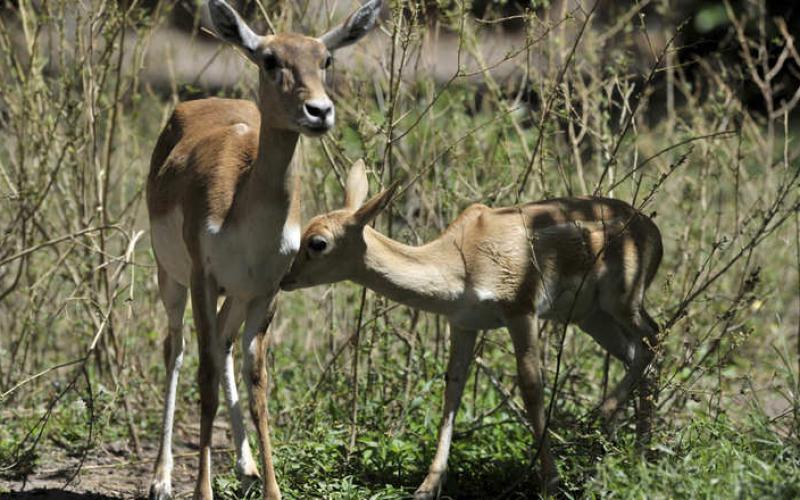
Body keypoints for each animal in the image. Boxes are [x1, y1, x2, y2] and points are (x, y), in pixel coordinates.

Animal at [148, 1, 384, 498]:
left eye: (325, 59)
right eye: (270, 59)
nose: (319, 111)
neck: (245, 210)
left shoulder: (266, 290)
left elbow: (258, 385)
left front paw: (272, 486)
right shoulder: (203, 278)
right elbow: (204, 377)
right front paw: (202, 490)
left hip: (235, 296)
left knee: (224, 345)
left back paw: (246, 467)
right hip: (170, 279)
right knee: (176, 348)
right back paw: (161, 478)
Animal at [282, 162, 664, 498]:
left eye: (317, 243)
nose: (285, 279)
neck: (459, 263)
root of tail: (654, 233)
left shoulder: (520, 308)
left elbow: (531, 388)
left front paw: (551, 482)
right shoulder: (463, 323)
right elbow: (452, 389)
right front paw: (426, 488)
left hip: (622, 298)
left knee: (654, 339)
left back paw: (608, 417)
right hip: (591, 316)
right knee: (641, 351)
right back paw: (638, 454)